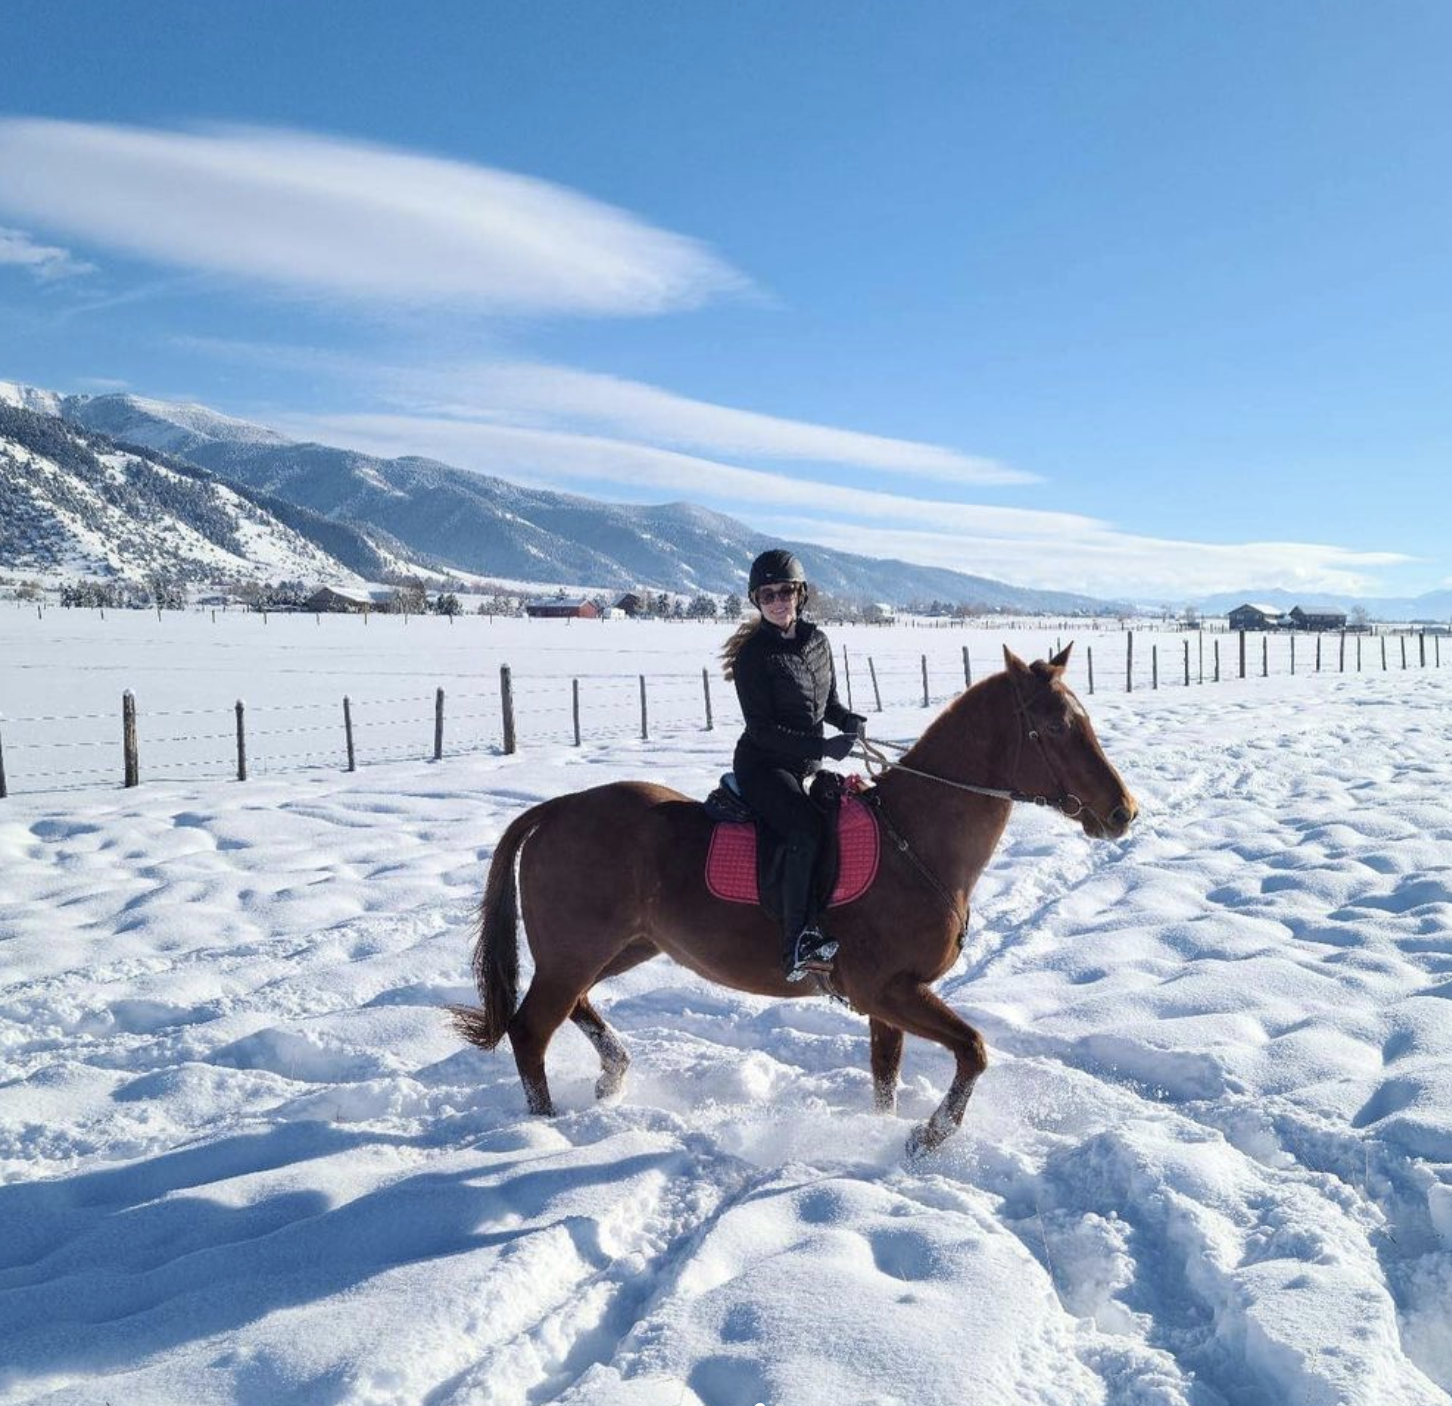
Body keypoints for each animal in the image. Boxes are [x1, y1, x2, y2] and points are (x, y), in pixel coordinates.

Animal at [450, 647, 1132, 1156]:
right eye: (1054, 729)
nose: (1123, 812)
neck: (915, 840)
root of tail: (554, 810)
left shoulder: (889, 1003)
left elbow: (887, 1079)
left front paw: (885, 1134)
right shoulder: (887, 990)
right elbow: (974, 1051)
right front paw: (927, 1138)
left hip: (620, 947)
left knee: (570, 1008)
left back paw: (610, 1076)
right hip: (579, 952)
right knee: (531, 1030)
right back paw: (546, 1133)